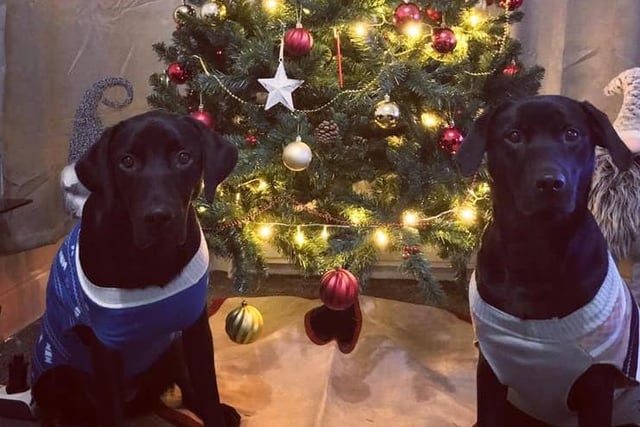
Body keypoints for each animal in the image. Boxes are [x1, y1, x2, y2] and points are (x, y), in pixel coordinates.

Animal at [30, 112, 241, 427]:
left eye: (184, 157)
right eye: (127, 161)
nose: (158, 217)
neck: (151, 259)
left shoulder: (195, 325)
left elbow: (207, 390)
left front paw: (216, 412)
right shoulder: (107, 346)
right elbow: (111, 411)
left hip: (172, 343)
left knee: (189, 389)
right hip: (53, 377)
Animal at [456, 96, 640, 427]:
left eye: (572, 134)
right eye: (514, 135)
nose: (551, 183)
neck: (537, 252)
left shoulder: (596, 383)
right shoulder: (490, 370)